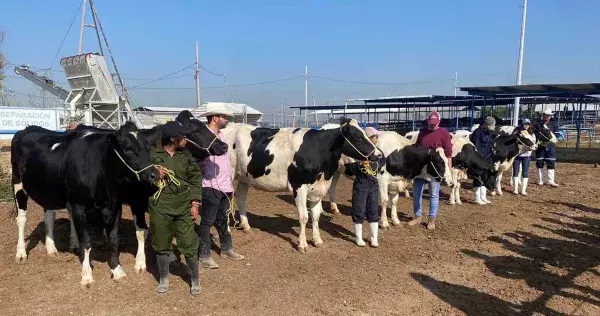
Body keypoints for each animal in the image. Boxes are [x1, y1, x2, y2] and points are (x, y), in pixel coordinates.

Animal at [12, 124, 161, 286]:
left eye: (147, 147)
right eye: (128, 148)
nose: (155, 174)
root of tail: (28, 128)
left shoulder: (116, 208)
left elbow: (114, 240)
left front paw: (117, 270)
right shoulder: (79, 207)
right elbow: (86, 242)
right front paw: (87, 275)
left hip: (49, 192)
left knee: (50, 216)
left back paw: (52, 248)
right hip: (17, 184)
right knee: (21, 219)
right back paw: (21, 253)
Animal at [219, 117, 380, 253]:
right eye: (358, 136)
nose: (378, 155)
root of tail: (229, 126)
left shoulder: (318, 189)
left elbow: (315, 216)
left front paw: (317, 240)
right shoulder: (299, 187)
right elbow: (303, 217)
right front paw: (302, 245)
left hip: (244, 177)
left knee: (240, 198)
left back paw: (246, 226)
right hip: (227, 176)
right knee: (225, 201)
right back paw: (228, 228)